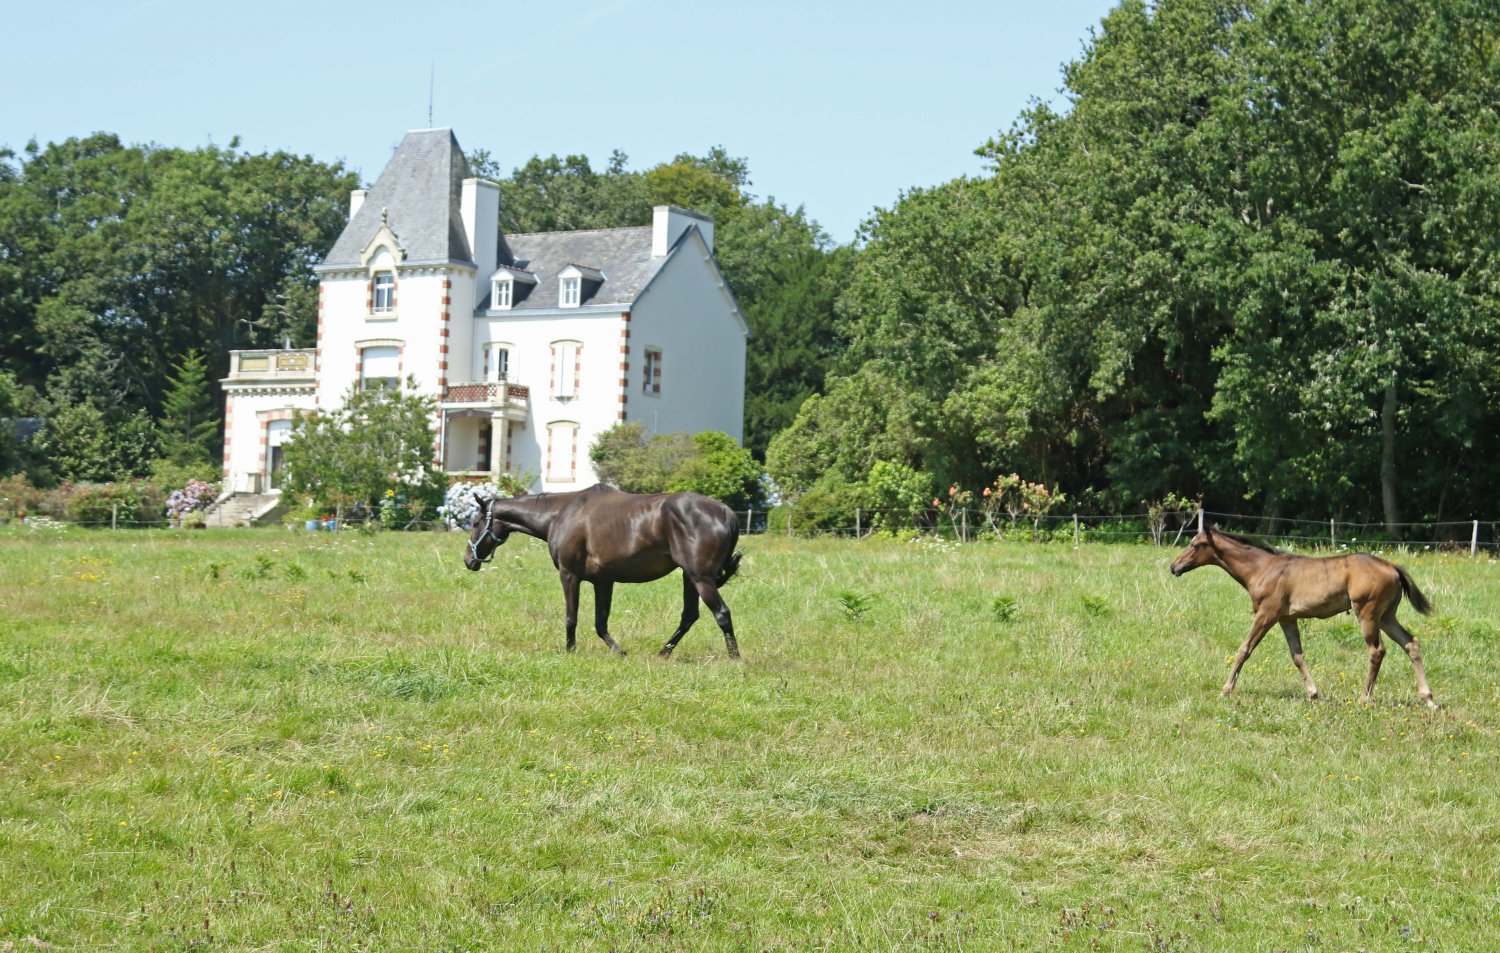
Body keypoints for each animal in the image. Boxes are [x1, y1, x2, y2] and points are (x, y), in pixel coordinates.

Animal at [463, 484, 743, 659]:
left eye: (475, 523)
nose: (468, 560)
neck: (560, 514)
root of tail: (726, 511)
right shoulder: (603, 581)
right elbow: (601, 623)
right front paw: (619, 652)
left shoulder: (569, 575)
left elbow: (571, 617)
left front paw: (570, 651)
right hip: (689, 577)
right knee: (689, 616)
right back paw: (663, 652)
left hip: (700, 578)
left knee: (721, 614)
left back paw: (735, 658)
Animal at [1170, 525, 1437, 708]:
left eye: (1195, 544)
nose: (1174, 566)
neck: (1263, 568)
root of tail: (1393, 567)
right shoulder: (1287, 618)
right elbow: (1297, 655)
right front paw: (1313, 693)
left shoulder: (1267, 614)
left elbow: (1244, 649)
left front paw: (1226, 690)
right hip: (1386, 616)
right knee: (1411, 643)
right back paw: (1429, 699)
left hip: (1368, 613)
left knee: (1377, 651)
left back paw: (1364, 698)